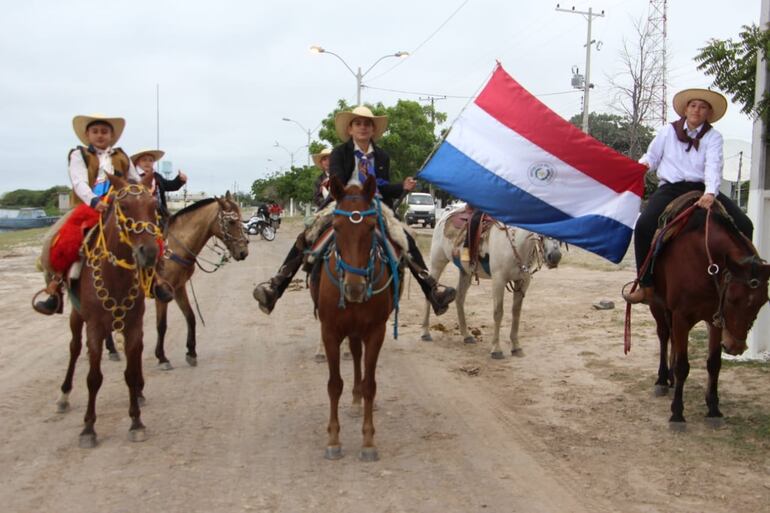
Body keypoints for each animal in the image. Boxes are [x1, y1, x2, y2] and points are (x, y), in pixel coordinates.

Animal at [57, 171, 162, 444]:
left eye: (153, 205)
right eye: (123, 206)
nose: (149, 252)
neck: (115, 275)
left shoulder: (133, 325)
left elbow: (131, 373)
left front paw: (136, 421)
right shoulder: (94, 326)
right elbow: (94, 378)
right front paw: (88, 428)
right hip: (77, 317)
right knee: (74, 348)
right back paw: (64, 395)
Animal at [148, 193, 248, 368]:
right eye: (231, 222)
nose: (244, 252)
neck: (173, 247)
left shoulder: (179, 288)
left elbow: (190, 316)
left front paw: (191, 352)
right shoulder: (162, 294)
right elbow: (161, 325)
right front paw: (162, 357)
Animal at [308, 174, 400, 462]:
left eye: (371, 228)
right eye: (336, 228)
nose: (355, 288)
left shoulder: (376, 332)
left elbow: (370, 384)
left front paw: (368, 442)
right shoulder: (329, 332)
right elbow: (334, 384)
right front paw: (333, 440)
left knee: (359, 359)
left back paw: (359, 400)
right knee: (355, 356)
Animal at [420, 210, 560, 358]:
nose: (555, 256)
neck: (516, 243)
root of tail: (445, 215)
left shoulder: (523, 281)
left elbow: (516, 313)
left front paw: (516, 347)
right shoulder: (498, 280)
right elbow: (498, 312)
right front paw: (496, 350)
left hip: (465, 272)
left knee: (459, 298)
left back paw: (466, 335)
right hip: (437, 262)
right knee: (429, 292)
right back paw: (425, 333)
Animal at [636, 202, 768, 430]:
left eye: (763, 301)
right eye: (732, 299)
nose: (735, 347)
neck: (705, 262)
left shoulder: (715, 318)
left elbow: (714, 363)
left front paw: (713, 409)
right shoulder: (681, 316)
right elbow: (682, 366)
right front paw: (677, 414)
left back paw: (670, 379)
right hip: (657, 305)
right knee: (663, 335)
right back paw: (662, 380)